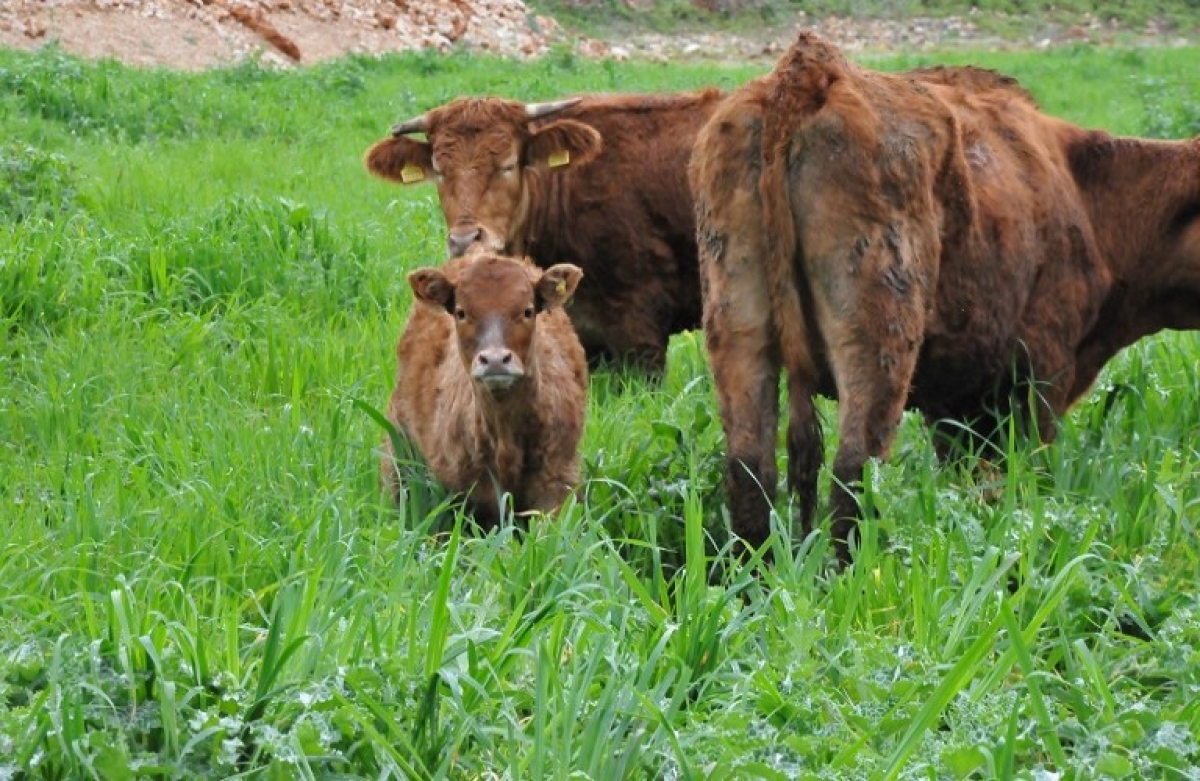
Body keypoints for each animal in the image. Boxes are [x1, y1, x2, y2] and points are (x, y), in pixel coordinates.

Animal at [691, 32, 1200, 561]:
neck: (1084, 188)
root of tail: (809, 73)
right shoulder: (1039, 378)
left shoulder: (956, 405)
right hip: (880, 342)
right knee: (852, 474)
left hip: (739, 333)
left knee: (751, 476)